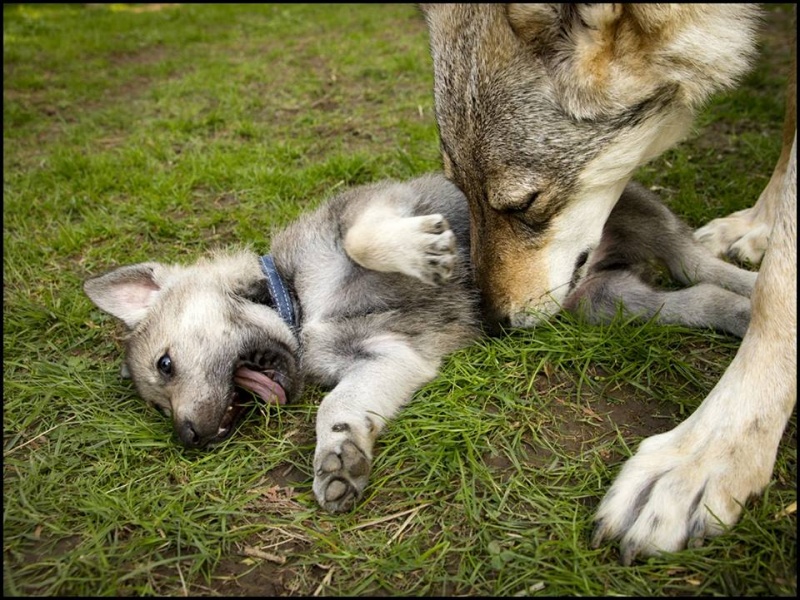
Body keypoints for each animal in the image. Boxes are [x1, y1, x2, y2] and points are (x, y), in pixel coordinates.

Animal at [86, 175, 756, 516]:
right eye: (158, 403)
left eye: (166, 365)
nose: (190, 438)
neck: (298, 305)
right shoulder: (390, 360)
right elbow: (338, 409)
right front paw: (339, 459)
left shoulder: (378, 206)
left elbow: (365, 236)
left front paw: (423, 253)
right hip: (607, 303)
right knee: (696, 297)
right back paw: (742, 313)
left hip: (641, 216)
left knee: (696, 260)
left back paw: (754, 279)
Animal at [422, 4, 796, 564]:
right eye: (458, 189)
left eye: (524, 203)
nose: (491, 321)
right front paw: (760, 224)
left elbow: (780, 287)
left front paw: (705, 457)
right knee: (693, 276)